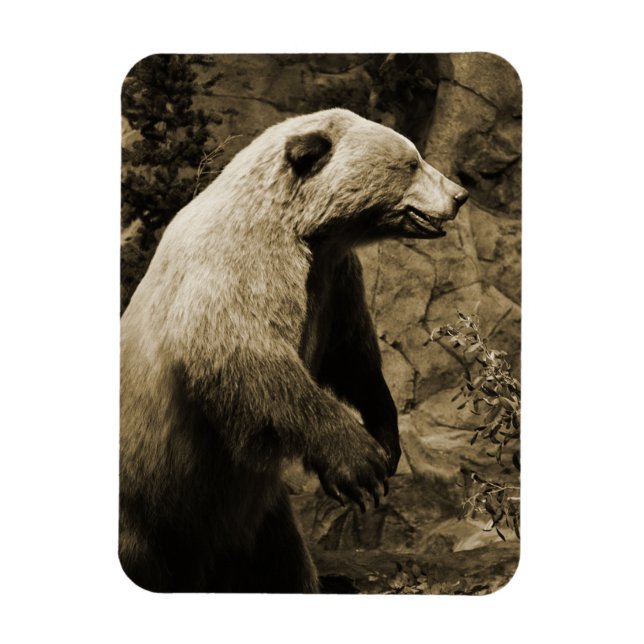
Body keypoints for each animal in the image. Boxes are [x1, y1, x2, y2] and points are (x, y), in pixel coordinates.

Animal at [119, 107, 468, 593]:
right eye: (411, 162)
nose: (460, 195)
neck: (308, 231)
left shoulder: (335, 281)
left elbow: (353, 355)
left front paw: (386, 438)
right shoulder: (239, 264)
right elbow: (248, 354)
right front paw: (360, 465)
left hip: (257, 521)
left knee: (280, 566)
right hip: (147, 506)